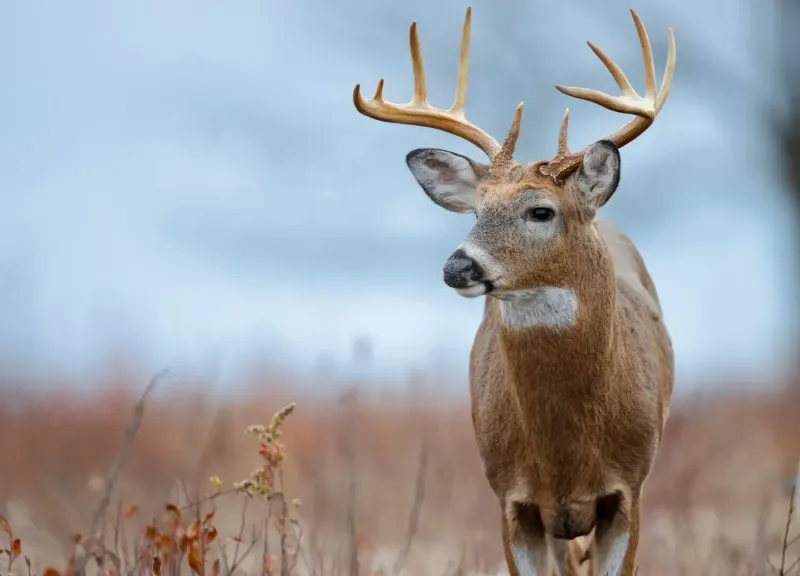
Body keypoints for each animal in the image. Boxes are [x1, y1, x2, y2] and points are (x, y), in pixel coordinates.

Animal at [352, 6, 675, 576]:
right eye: (477, 211)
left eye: (540, 211)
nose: (457, 266)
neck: (565, 453)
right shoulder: (511, 498)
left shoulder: (629, 490)